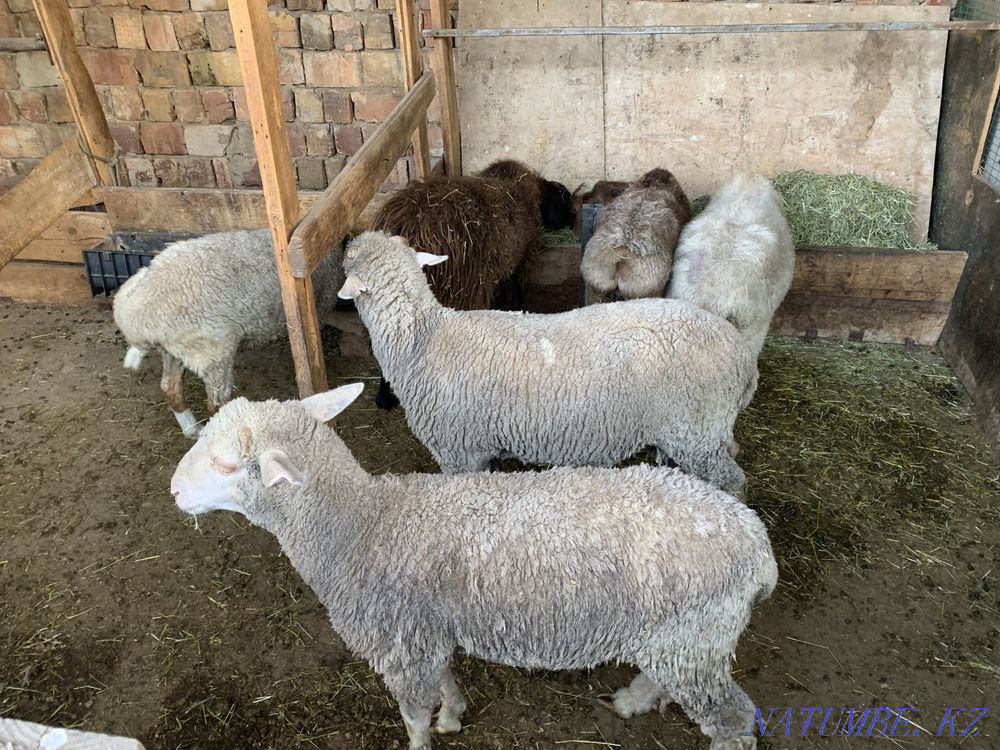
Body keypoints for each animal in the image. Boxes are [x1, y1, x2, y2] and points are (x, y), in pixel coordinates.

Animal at [112, 229, 343, 439]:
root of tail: (136, 318)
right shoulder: (320, 306)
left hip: (175, 350)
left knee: (170, 389)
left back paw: (192, 430)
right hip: (211, 352)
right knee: (214, 404)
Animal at [169, 382, 778, 750]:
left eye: (227, 464)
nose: (173, 490)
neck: (363, 527)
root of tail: (758, 547)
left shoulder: (400, 644)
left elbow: (413, 715)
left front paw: (425, 737)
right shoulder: (423, 630)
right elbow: (443, 680)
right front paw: (454, 715)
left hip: (695, 637)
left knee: (733, 720)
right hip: (681, 639)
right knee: (668, 678)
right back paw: (633, 700)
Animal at [338, 231, 756, 492]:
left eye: (350, 257)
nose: (346, 239)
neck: (422, 340)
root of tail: (741, 355)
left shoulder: (459, 450)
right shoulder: (479, 448)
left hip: (696, 430)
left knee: (732, 480)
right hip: (696, 431)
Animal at [369, 159, 573, 410]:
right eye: (564, 199)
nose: (570, 221)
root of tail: (404, 227)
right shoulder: (518, 262)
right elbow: (515, 296)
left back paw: (384, 396)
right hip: (457, 290)